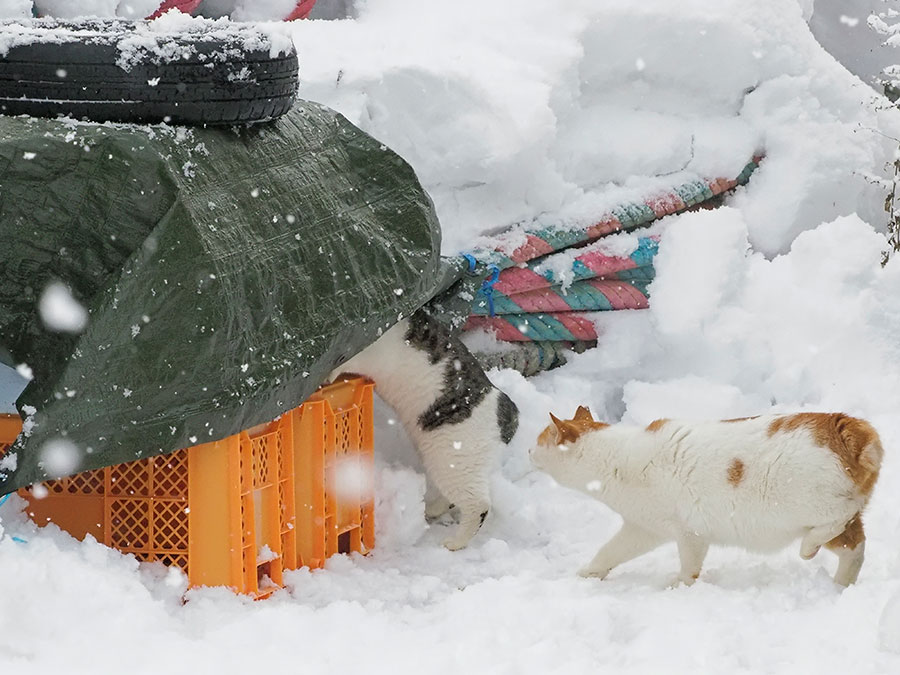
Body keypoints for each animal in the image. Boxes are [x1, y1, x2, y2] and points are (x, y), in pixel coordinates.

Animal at [332, 308, 516, 552]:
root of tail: (509, 415)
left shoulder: (367, 355)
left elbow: (342, 365)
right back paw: (434, 509)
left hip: (453, 460)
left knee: (478, 504)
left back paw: (455, 542)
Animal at [532, 406, 884, 588]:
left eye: (537, 441)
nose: (527, 451)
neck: (614, 458)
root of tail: (848, 425)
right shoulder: (642, 528)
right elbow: (608, 552)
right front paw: (588, 576)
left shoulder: (690, 533)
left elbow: (689, 568)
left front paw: (679, 586)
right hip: (836, 524)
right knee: (856, 548)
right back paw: (840, 585)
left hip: (811, 507)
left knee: (835, 521)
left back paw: (808, 548)